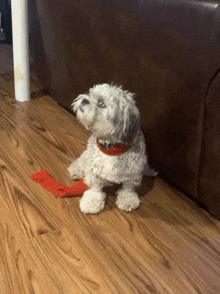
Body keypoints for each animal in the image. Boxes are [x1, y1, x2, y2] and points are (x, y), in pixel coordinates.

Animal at [68, 83, 157, 214]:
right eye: (90, 94)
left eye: (101, 103)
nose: (84, 99)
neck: (111, 148)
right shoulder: (94, 169)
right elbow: (95, 188)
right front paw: (91, 201)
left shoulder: (133, 172)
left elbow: (128, 188)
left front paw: (127, 199)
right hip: (88, 156)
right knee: (82, 160)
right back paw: (75, 170)